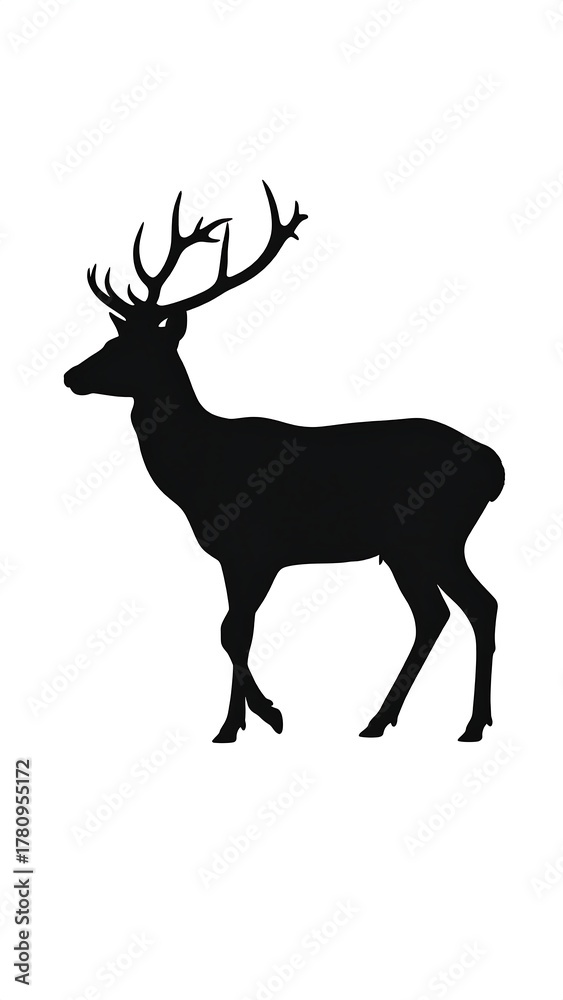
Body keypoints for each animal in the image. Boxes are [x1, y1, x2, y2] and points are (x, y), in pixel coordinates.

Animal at [64, 182, 504, 743]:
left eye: (135, 348)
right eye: (113, 338)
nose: (71, 375)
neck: (198, 474)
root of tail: (495, 467)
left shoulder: (256, 549)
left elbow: (232, 632)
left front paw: (262, 715)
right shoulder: (232, 558)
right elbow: (235, 630)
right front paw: (233, 724)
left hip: (433, 535)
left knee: (473, 606)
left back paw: (466, 724)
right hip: (411, 548)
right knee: (442, 613)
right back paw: (388, 721)